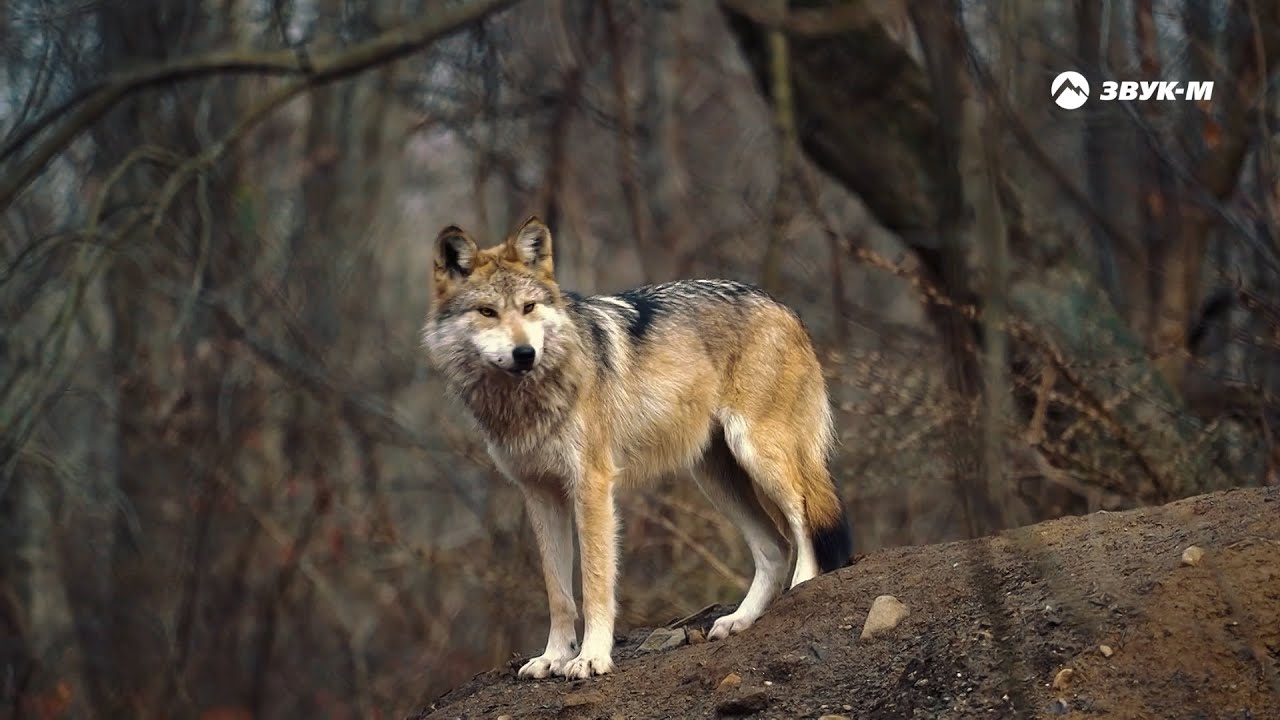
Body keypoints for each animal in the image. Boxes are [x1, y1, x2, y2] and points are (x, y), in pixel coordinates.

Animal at [421, 216, 853, 680]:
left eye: (528, 308)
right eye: (487, 312)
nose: (525, 353)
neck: (526, 400)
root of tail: (784, 308)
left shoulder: (591, 486)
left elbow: (594, 583)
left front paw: (591, 657)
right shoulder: (540, 494)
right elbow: (558, 593)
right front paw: (553, 656)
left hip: (759, 454)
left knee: (803, 520)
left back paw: (804, 585)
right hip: (715, 480)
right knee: (775, 548)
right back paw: (739, 620)